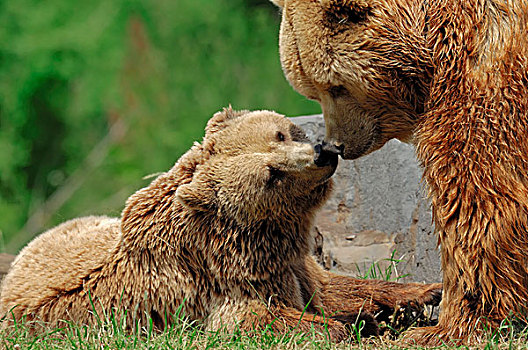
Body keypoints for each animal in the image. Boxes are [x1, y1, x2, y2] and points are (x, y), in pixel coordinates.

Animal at [270, 0, 528, 346]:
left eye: (335, 86)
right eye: (312, 90)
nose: (336, 145)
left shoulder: (487, 71)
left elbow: (480, 192)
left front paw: (447, 326)